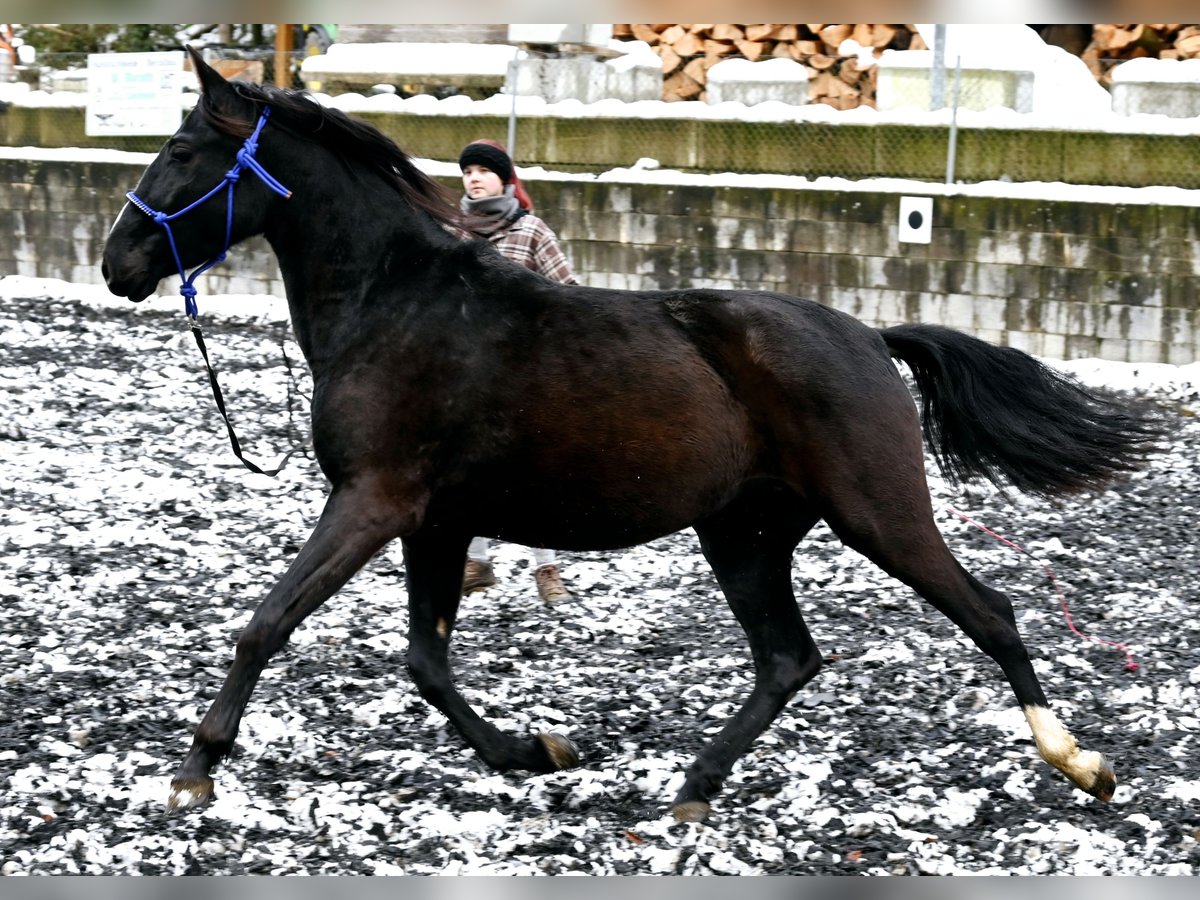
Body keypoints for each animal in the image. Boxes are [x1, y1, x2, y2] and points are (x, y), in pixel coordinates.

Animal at [103, 51, 1161, 825]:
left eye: (182, 152)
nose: (117, 263)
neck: (396, 305)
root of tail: (869, 336)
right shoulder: (436, 520)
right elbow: (427, 661)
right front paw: (535, 750)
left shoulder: (374, 501)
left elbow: (267, 622)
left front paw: (195, 767)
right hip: (744, 533)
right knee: (789, 658)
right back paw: (692, 788)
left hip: (877, 512)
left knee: (991, 613)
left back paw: (1081, 762)